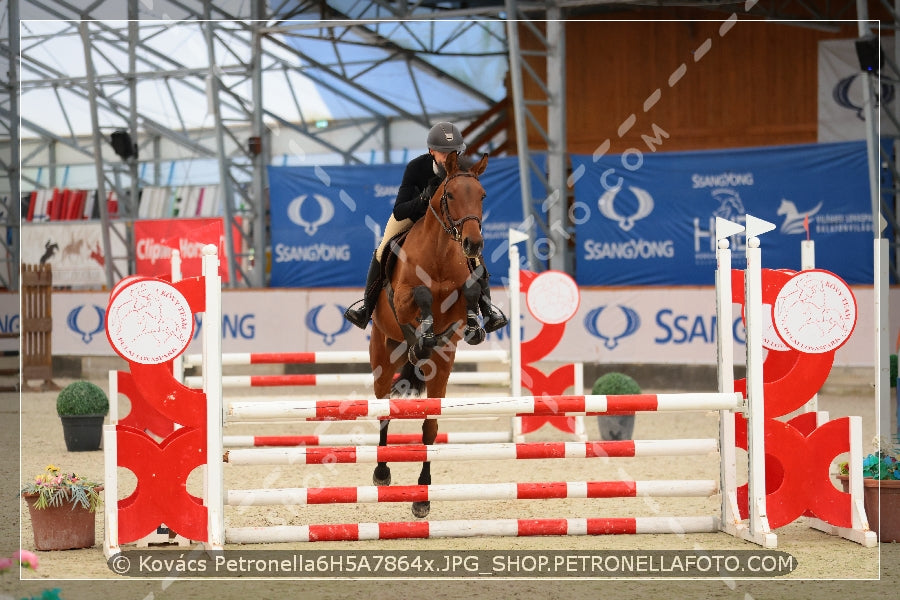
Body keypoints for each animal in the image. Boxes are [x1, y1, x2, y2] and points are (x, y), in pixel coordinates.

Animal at [368, 151, 488, 520]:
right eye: (449, 195)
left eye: (482, 195)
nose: (473, 243)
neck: (438, 254)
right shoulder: (403, 298)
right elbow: (419, 295)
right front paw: (423, 328)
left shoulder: (458, 304)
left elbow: (471, 290)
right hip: (382, 351)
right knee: (383, 410)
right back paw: (381, 472)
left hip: (442, 366)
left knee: (429, 427)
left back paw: (422, 495)